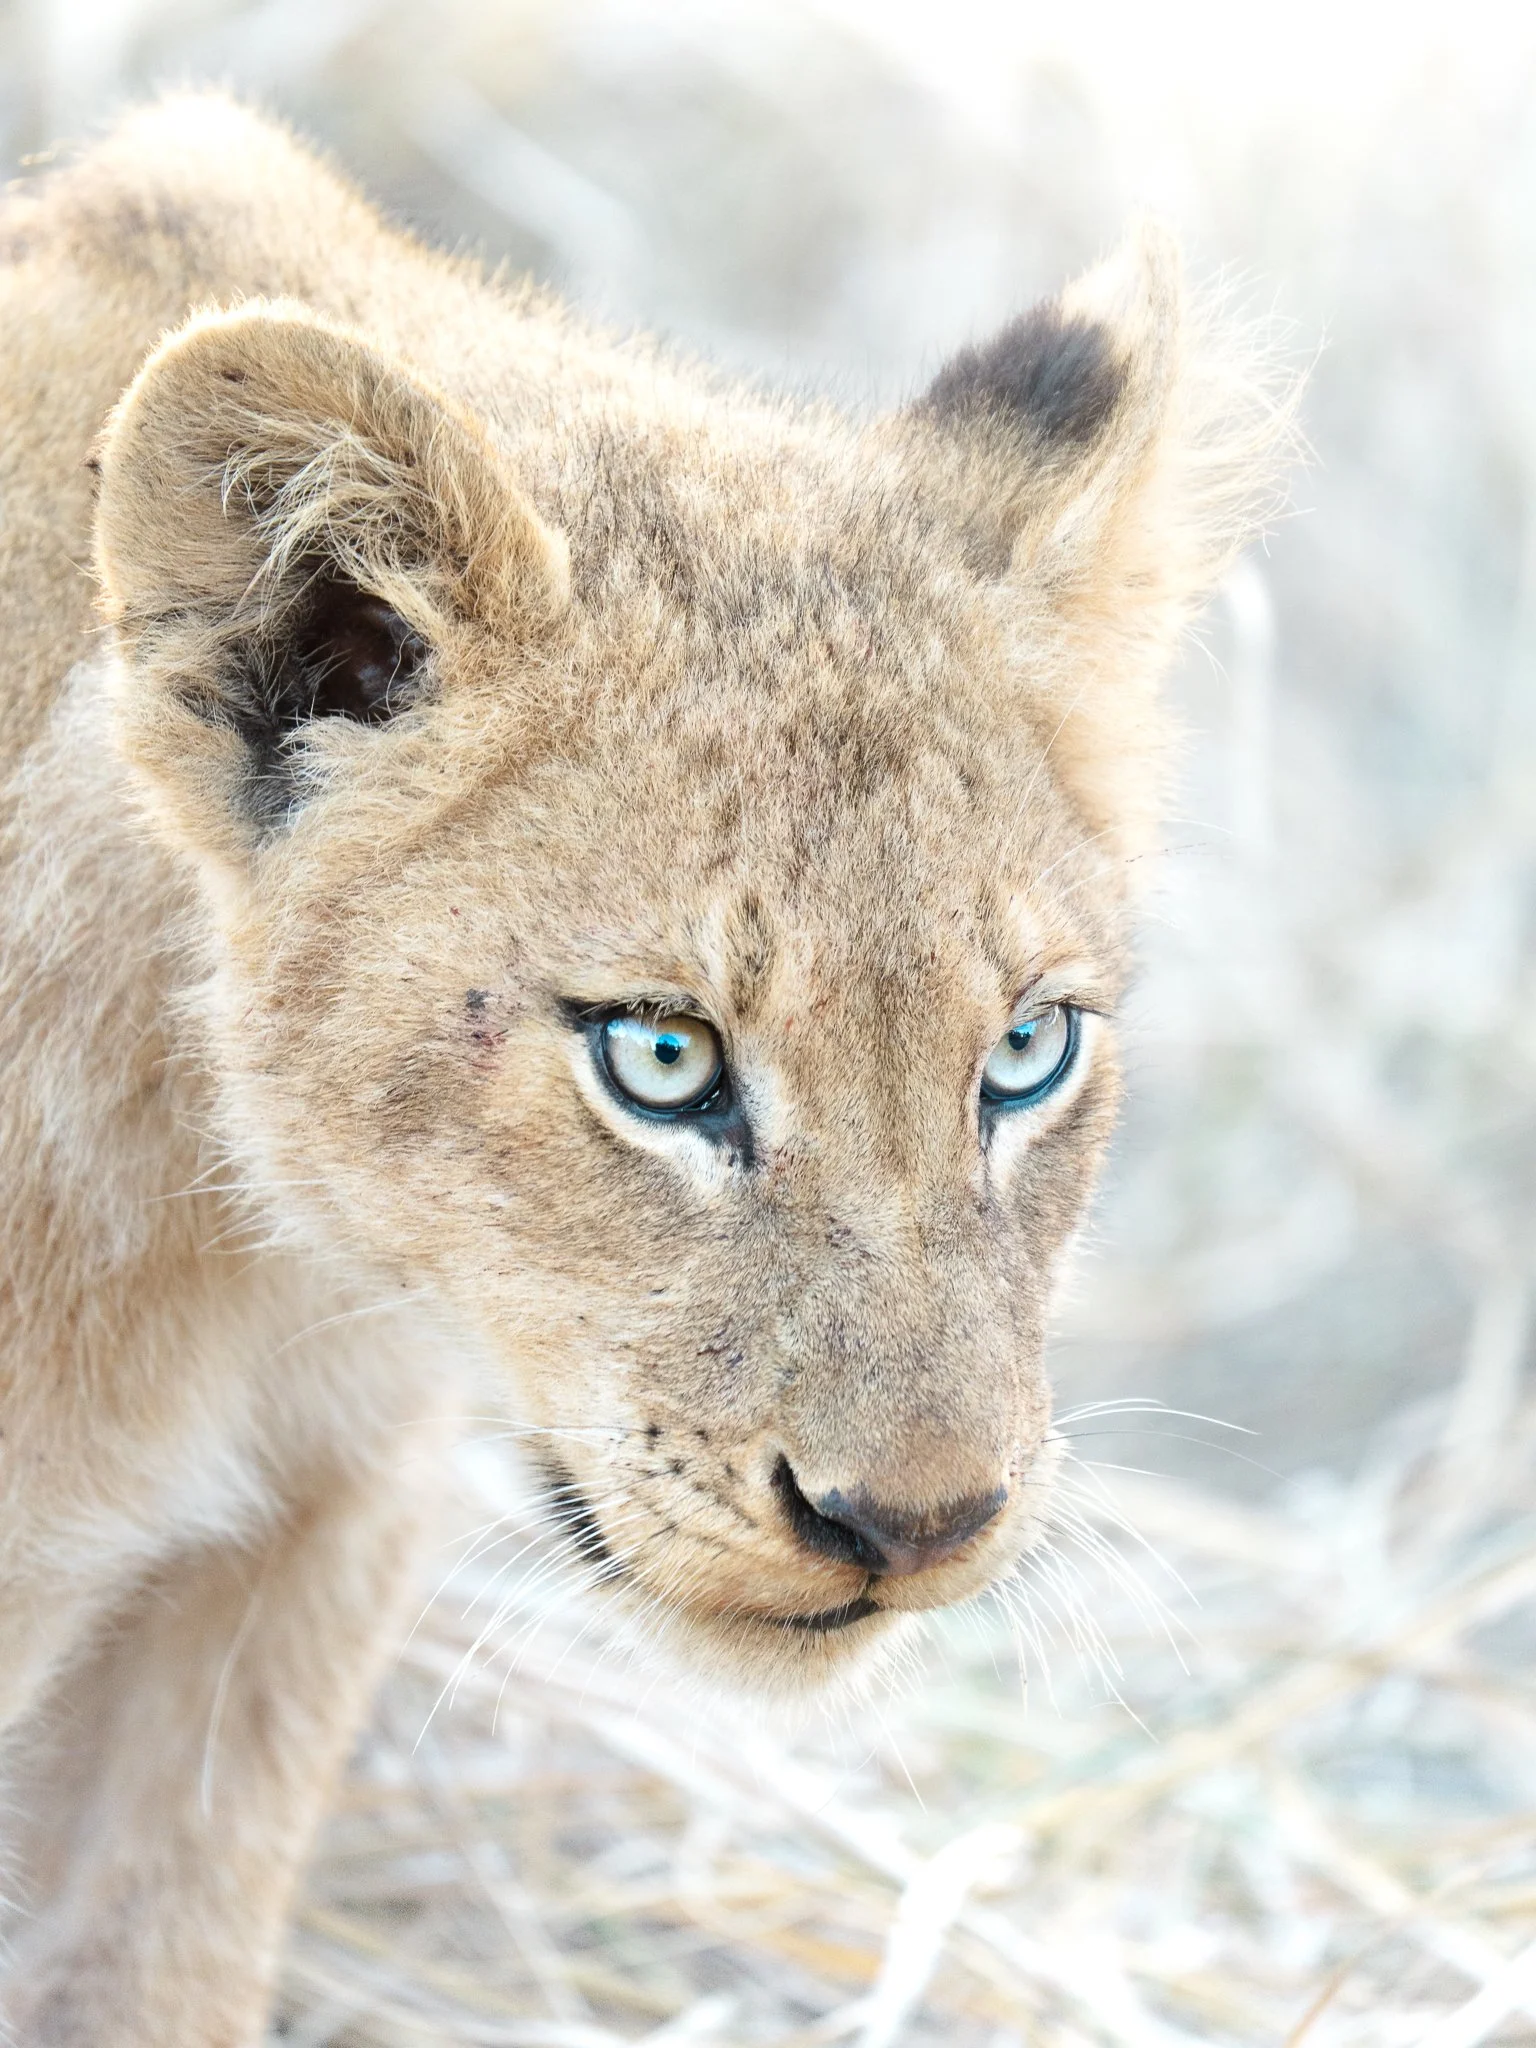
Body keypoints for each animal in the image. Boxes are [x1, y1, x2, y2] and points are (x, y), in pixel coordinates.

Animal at [0, 92, 1287, 2044]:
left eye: (1025, 1050)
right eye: (664, 1057)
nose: (912, 1526)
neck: (232, 1245)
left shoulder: (303, 1536)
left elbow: (158, 1953)